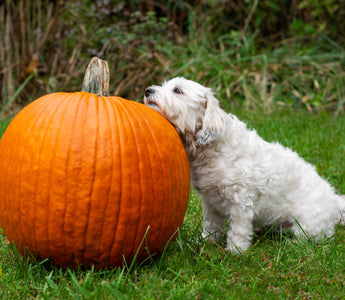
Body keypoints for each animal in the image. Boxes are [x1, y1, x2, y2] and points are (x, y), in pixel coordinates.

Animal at [142, 77, 344, 253]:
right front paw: (207, 242)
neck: (212, 149)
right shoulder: (210, 202)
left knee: (313, 238)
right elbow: (211, 224)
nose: (147, 90)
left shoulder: (240, 201)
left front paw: (235, 251)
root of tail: (335, 201)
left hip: (308, 224)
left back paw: (291, 243)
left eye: (178, 90)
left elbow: (238, 229)